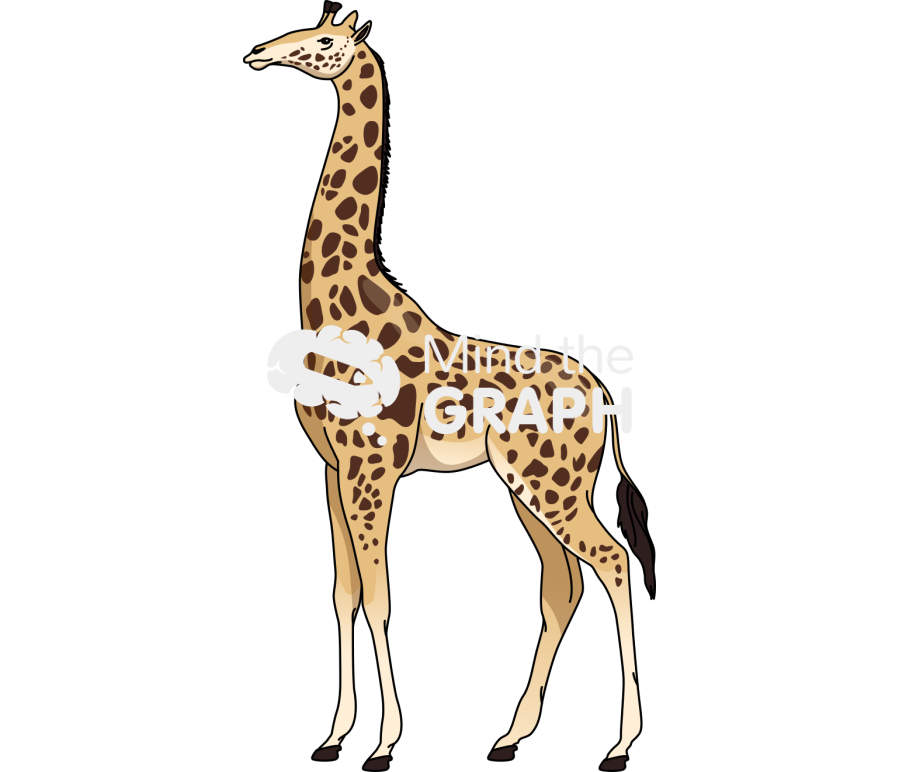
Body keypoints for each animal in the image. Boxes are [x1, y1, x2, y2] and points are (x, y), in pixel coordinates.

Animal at [252, 6, 654, 770]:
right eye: (301, 30)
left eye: (324, 41)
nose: (261, 51)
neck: (338, 307)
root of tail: (602, 401)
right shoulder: (331, 468)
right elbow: (344, 593)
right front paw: (335, 734)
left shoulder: (373, 466)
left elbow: (381, 596)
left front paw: (385, 741)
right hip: (528, 487)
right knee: (562, 585)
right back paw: (512, 735)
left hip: (551, 486)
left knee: (612, 562)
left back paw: (621, 741)